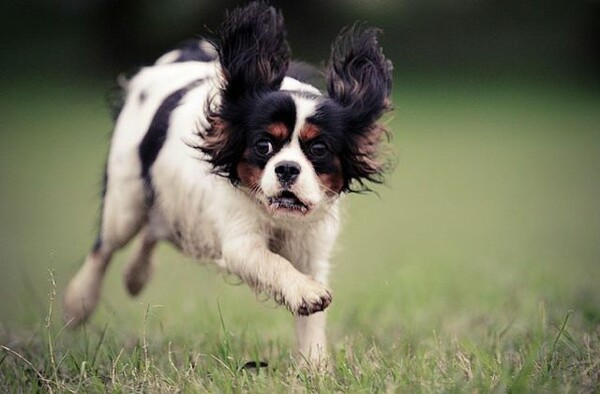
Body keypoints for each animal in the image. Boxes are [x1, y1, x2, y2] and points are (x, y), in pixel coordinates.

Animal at [63, 1, 394, 364]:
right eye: (263, 145)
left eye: (319, 149)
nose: (287, 169)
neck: (279, 220)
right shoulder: (240, 242)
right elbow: (272, 262)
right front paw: (305, 292)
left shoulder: (312, 249)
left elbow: (311, 321)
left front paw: (316, 366)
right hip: (126, 202)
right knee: (104, 247)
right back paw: (78, 303)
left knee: (153, 230)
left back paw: (135, 277)